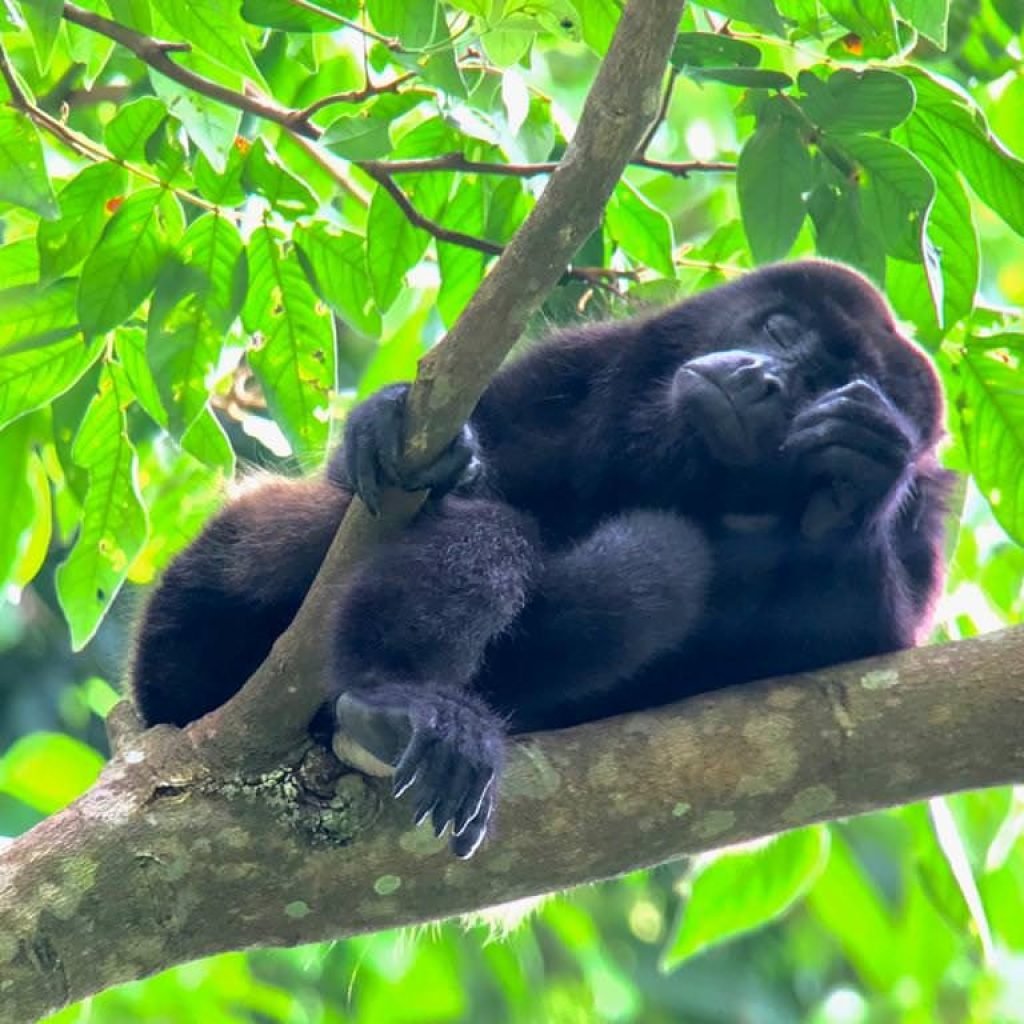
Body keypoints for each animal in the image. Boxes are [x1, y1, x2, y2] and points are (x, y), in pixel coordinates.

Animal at [131, 260, 951, 858]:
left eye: (823, 385)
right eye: (780, 331)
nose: (766, 376)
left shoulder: (925, 513)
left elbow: (859, 648)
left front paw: (859, 468)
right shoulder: (581, 364)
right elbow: (366, 485)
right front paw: (394, 422)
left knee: (658, 570)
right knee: (482, 530)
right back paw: (396, 698)